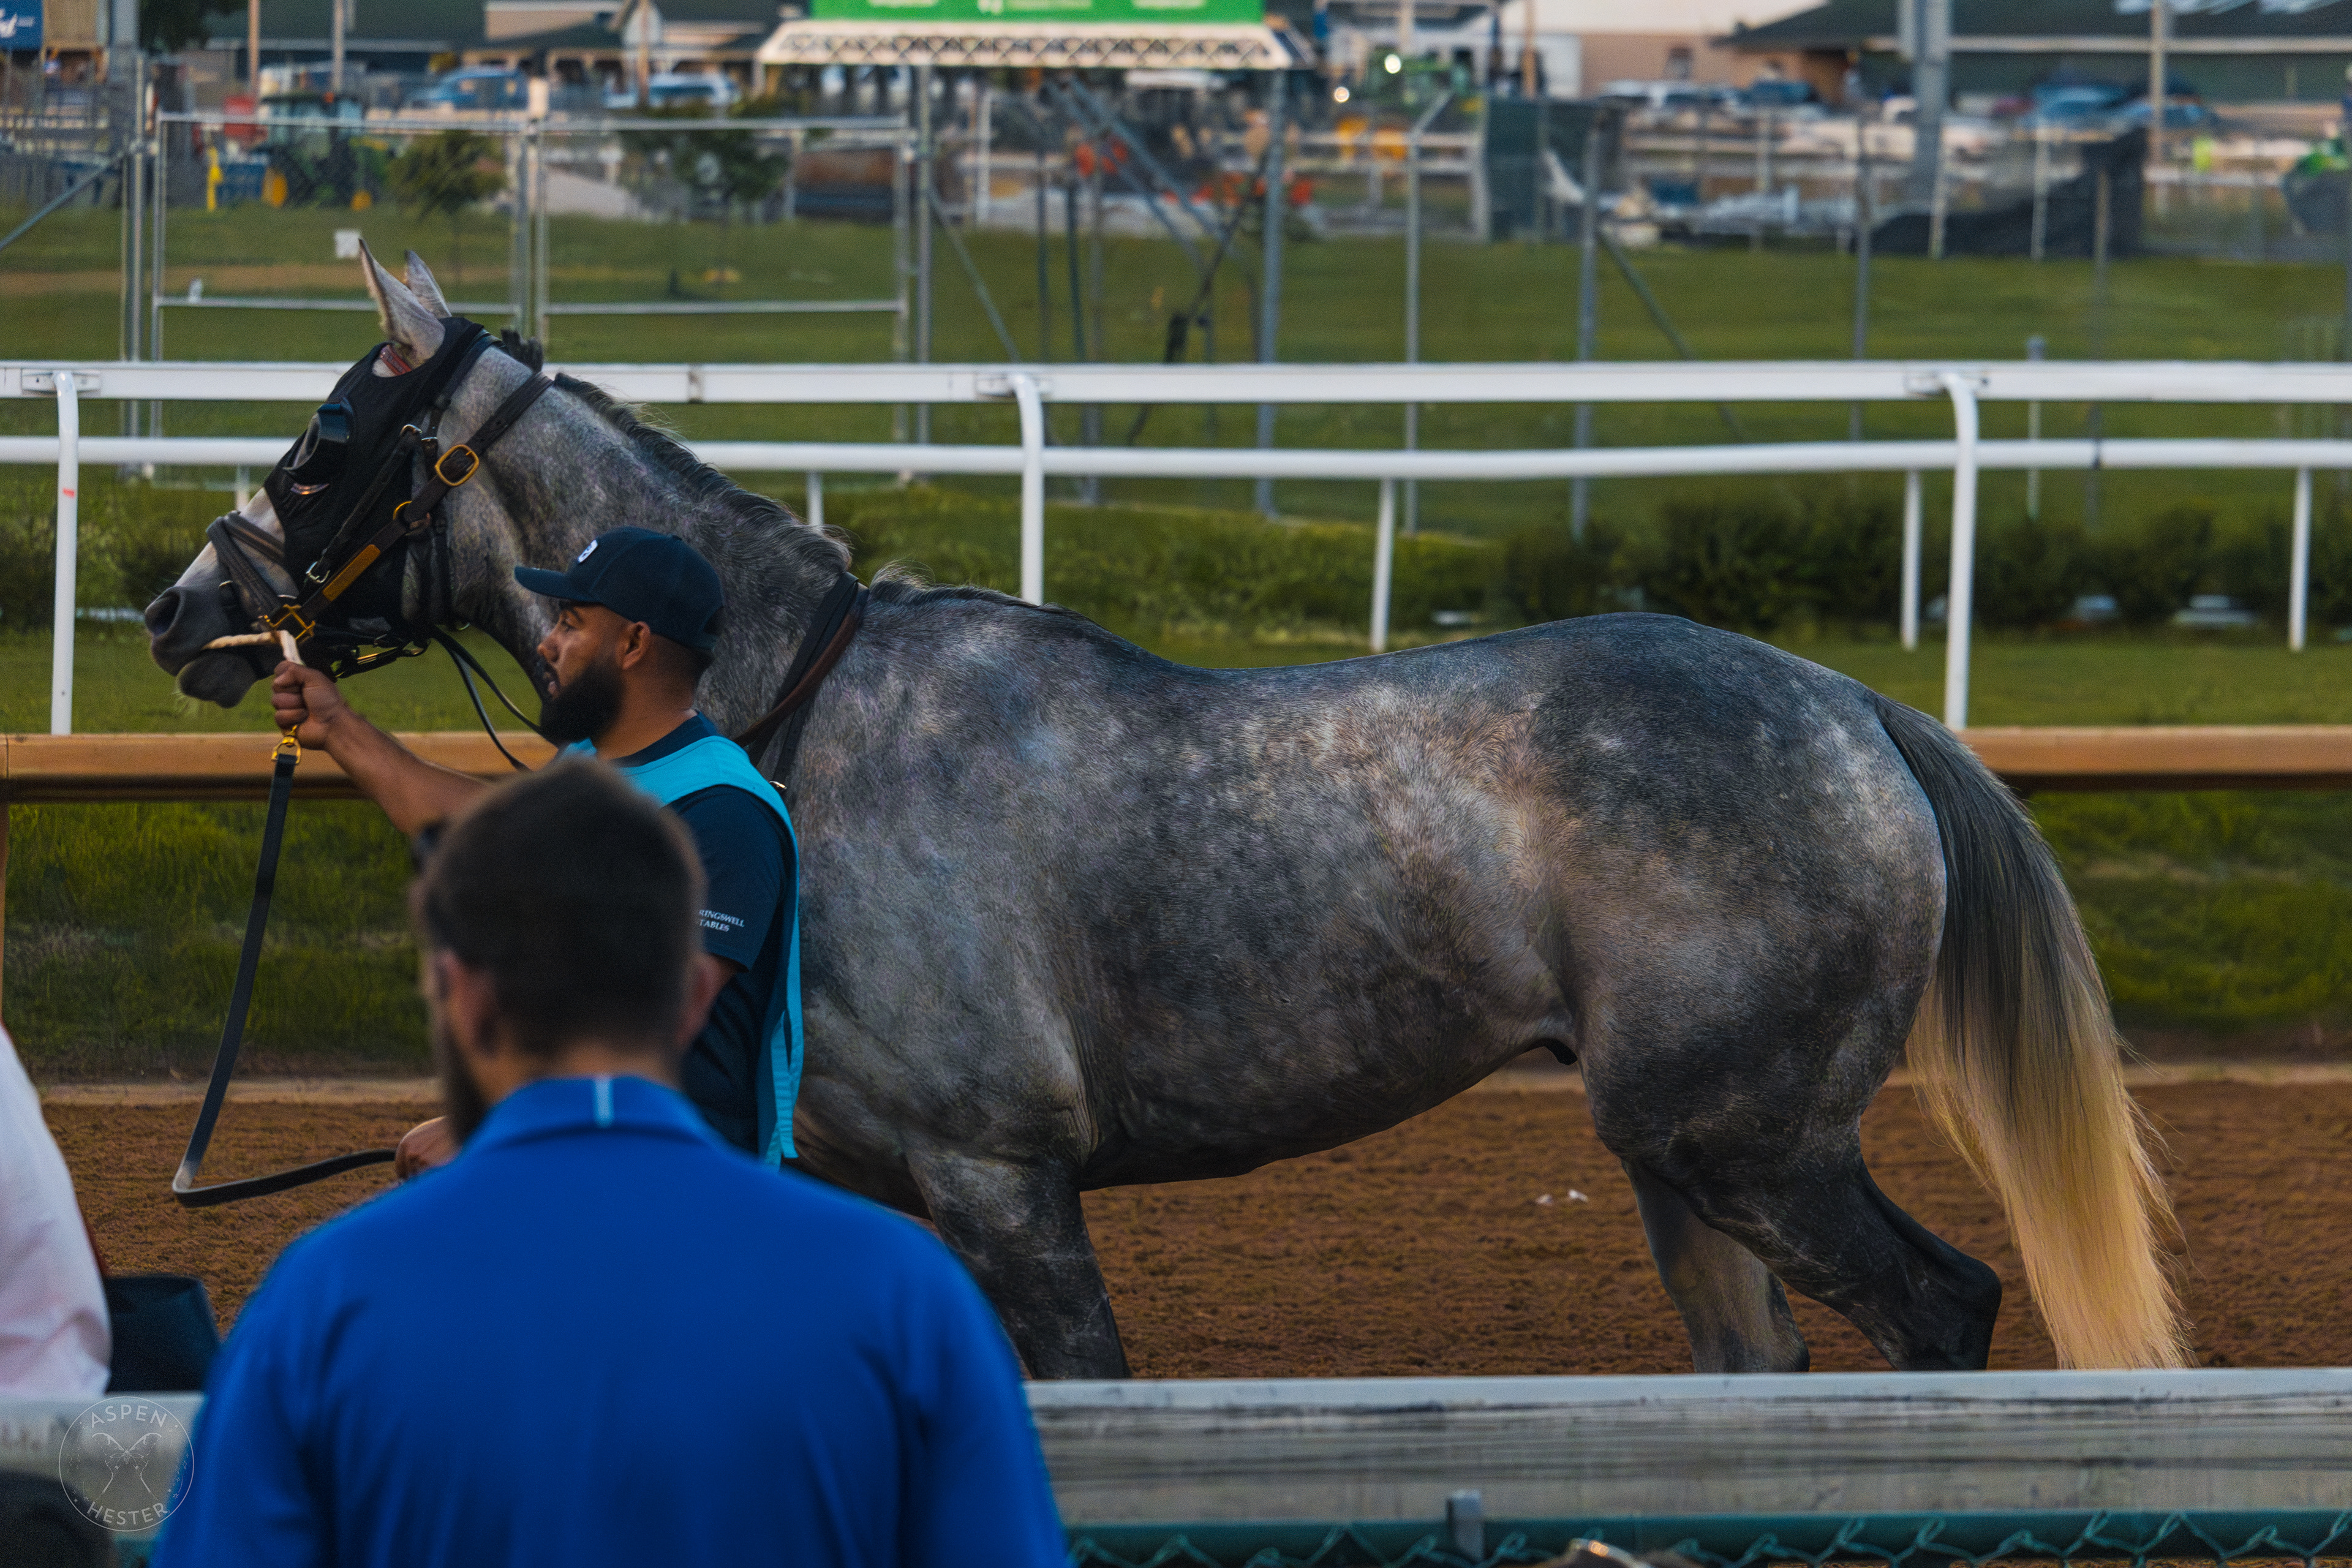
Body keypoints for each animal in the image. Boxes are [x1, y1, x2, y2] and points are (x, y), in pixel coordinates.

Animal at [143, 245, 2189, 1378]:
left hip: (1750, 1138)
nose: (178, 611)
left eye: (324, 449)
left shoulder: (1002, 1175)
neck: (808, 724)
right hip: (1682, 1159)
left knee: (1941, 1313)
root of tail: (1858, 713)